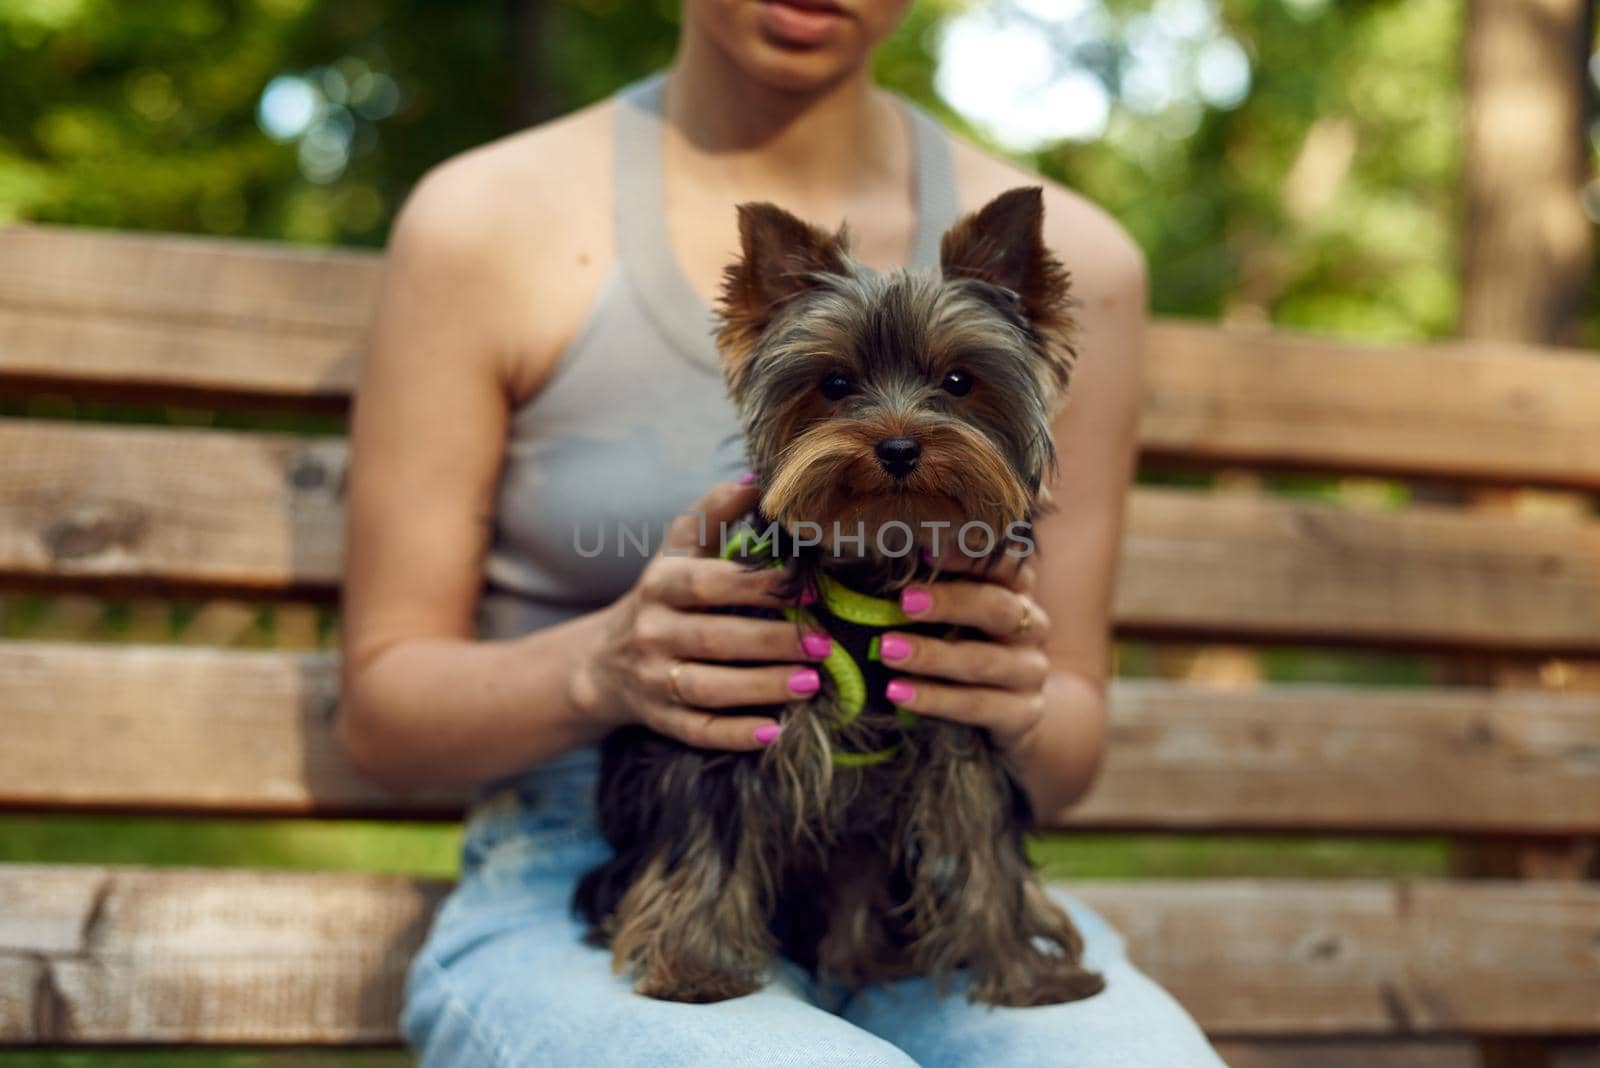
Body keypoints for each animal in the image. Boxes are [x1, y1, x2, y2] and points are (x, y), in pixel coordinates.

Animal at [579, 185, 1113, 1010]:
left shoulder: (963, 718)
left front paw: (1026, 974)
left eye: (958, 381)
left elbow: (986, 845)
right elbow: (708, 838)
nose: (897, 446)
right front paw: (696, 968)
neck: (876, 564)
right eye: (833, 384)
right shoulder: (739, 709)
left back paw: (867, 960)